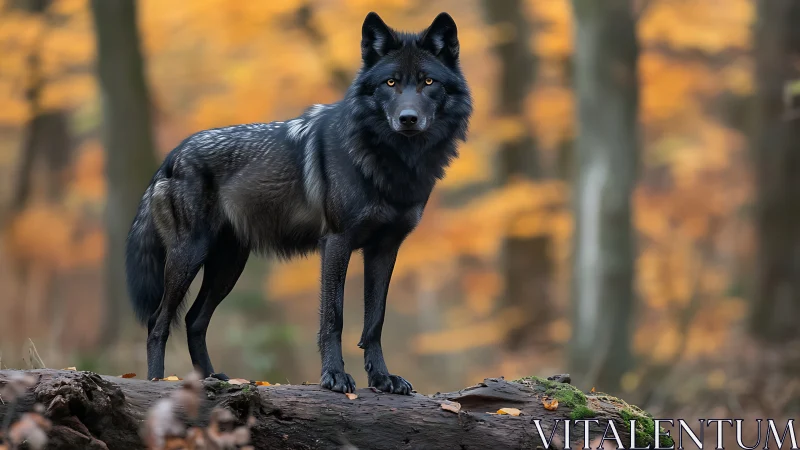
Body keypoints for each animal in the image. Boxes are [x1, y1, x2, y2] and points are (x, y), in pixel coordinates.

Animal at [125, 11, 472, 394]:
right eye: (391, 82)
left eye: (428, 81)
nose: (407, 118)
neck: (391, 161)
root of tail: (171, 155)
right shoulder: (336, 243)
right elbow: (333, 318)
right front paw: (334, 377)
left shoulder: (384, 250)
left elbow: (374, 323)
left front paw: (382, 379)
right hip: (190, 255)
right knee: (158, 321)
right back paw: (157, 382)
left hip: (227, 266)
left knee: (193, 319)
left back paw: (213, 379)